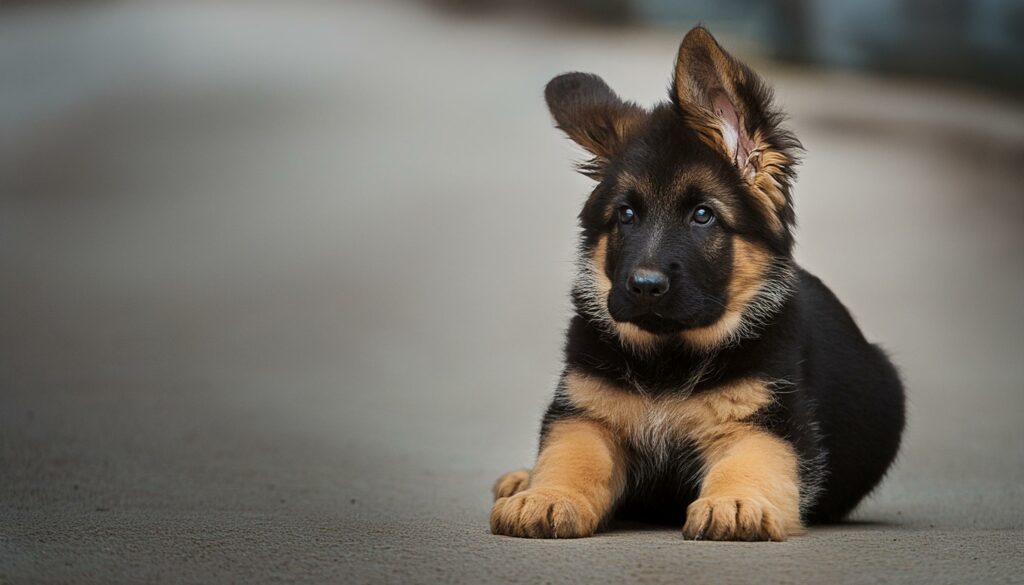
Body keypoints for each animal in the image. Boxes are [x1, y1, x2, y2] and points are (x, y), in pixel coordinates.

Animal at [489, 26, 905, 540]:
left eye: (703, 216)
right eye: (626, 214)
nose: (644, 286)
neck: (668, 360)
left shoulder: (766, 423)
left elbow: (749, 464)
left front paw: (736, 503)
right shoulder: (584, 412)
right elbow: (571, 456)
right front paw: (548, 495)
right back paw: (521, 479)